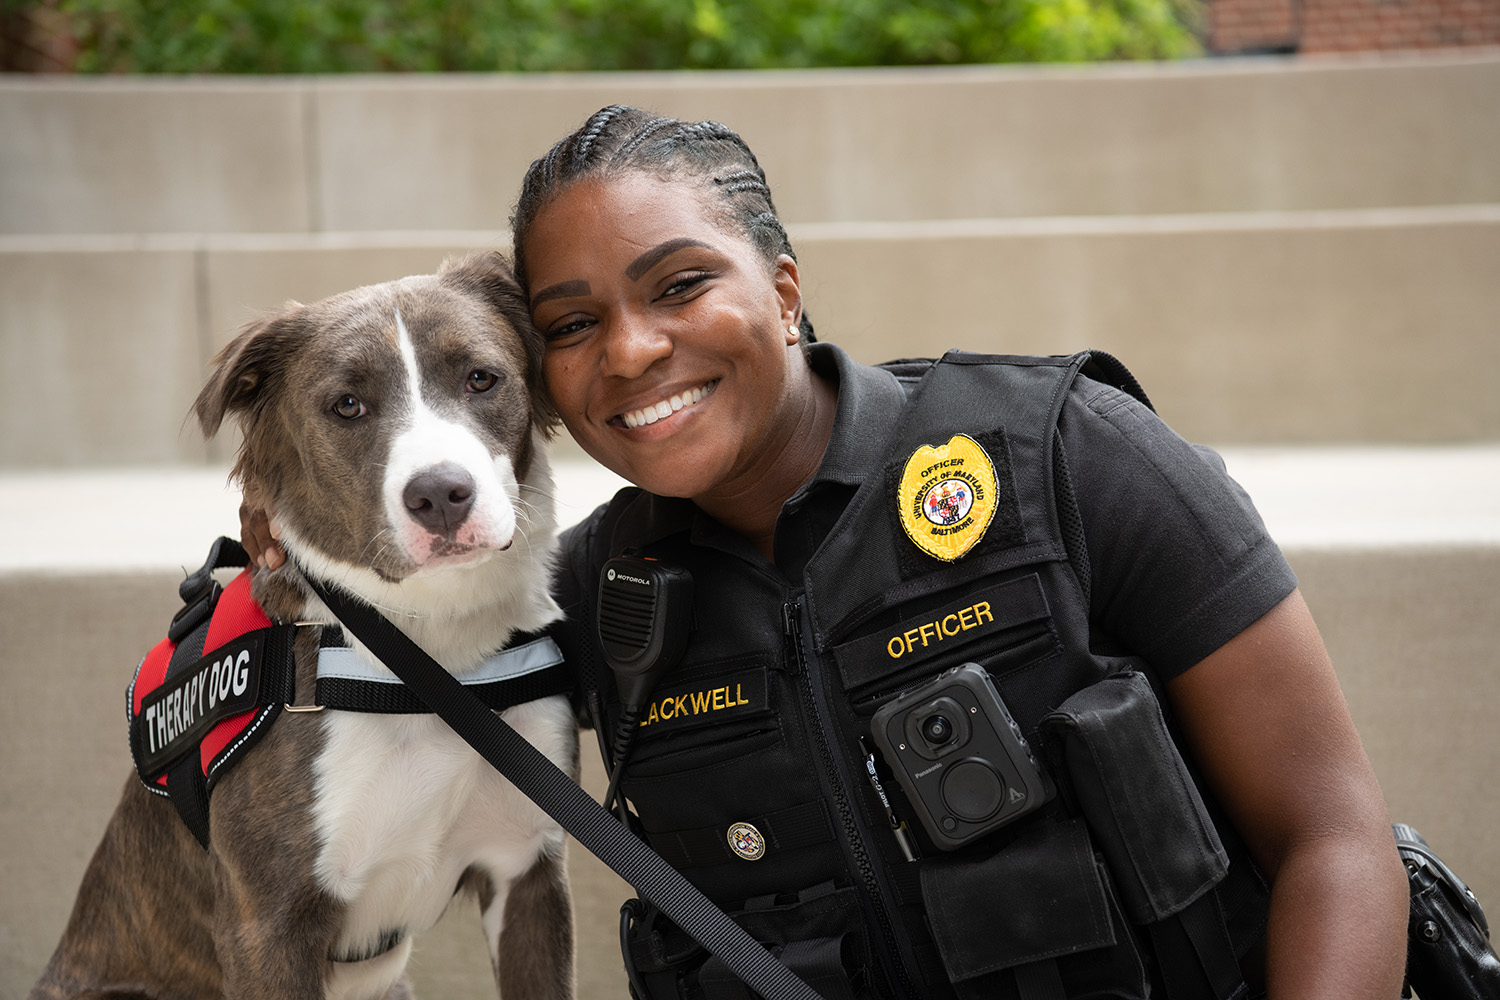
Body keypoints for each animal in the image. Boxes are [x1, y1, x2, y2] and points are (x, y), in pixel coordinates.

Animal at [30, 251, 579, 1000]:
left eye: (481, 378)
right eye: (347, 405)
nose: (440, 495)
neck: (426, 653)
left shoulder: (526, 871)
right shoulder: (270, 924)